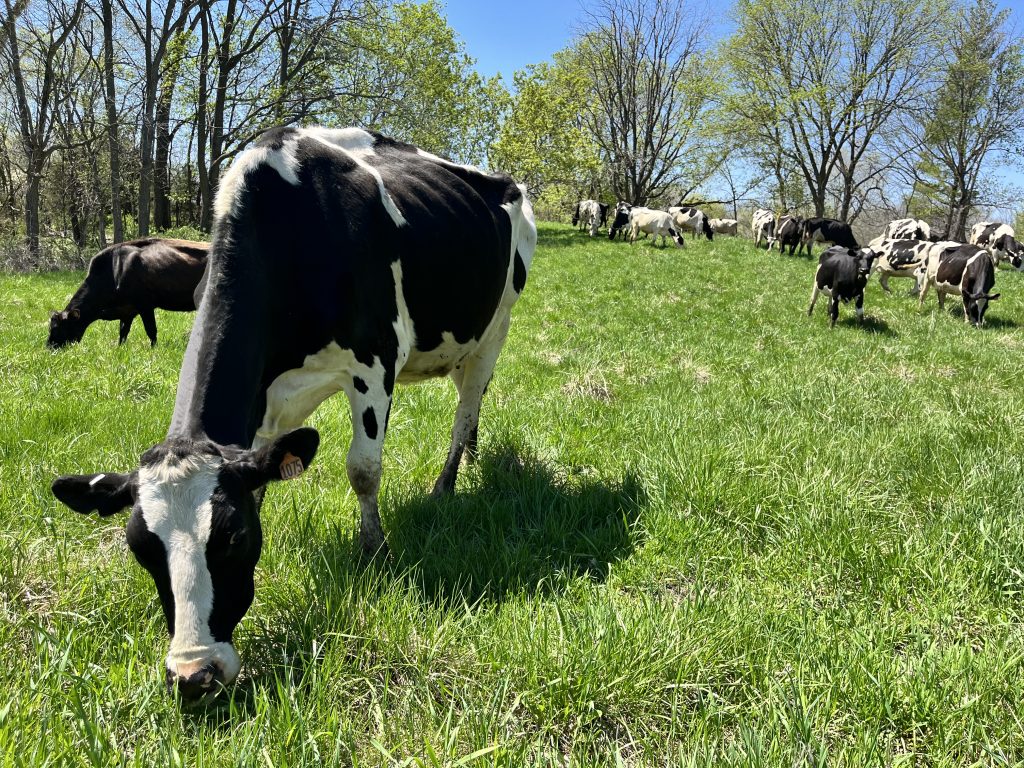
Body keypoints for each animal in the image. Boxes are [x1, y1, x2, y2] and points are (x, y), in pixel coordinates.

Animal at [47, 239, 209, 349]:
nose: (49, 348)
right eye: (50, 327)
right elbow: (123, 332)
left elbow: (151, 330)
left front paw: (154, 349)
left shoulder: (145, 305)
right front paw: (120, 348)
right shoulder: (127, 311)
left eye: (58, 328)